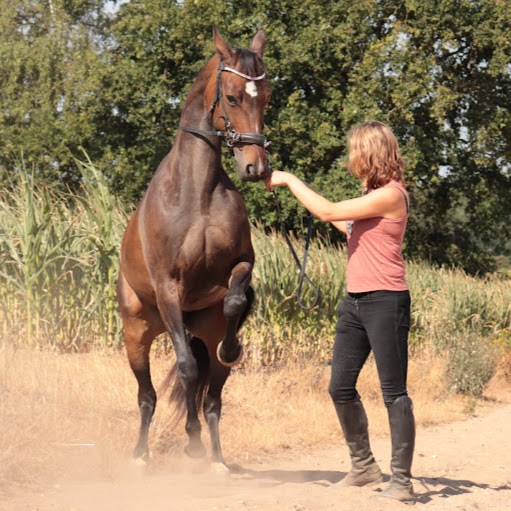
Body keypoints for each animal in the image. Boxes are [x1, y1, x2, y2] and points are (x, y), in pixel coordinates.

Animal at [116, 26, 272, 470]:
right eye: (233, 96)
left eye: (266, 97)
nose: (257, 167)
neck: (196, 194)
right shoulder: (168, 286)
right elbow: (185, 369)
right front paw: (191, 442)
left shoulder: (242, 263)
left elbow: (235, 299)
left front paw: (233, 347)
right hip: (137, 335)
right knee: (148, 395)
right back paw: (141, 455)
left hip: (202, 333)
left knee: (213, 398)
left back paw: (216, 459)